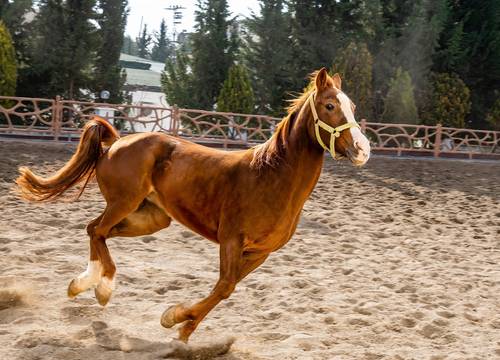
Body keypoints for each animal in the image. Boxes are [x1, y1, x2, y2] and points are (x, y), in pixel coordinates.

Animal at [15, 69, 370, 342]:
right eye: (329, 105)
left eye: (352, 106)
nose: (362, 149)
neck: (270, 177)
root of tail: (116, 141)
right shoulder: (231, 239)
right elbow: (224, 286)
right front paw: (174, 319)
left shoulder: (260, 252)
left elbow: (227, 289)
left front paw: (183, 330)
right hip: (123, 201)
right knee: (96, 229)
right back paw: (100, 287)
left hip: (151, 217)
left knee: (99, 232)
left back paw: (85, 286)